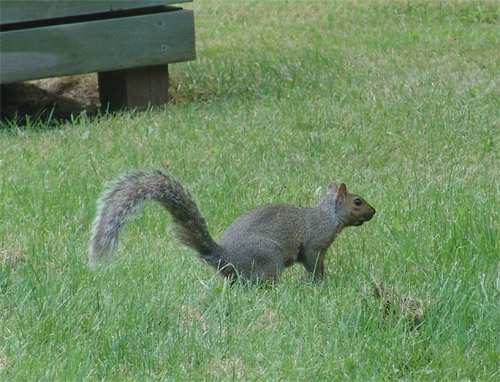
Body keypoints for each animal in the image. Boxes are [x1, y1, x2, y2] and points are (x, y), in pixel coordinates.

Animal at [90, 169, 376, 280]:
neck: (328, 215)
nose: (374, 211)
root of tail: (224, 257)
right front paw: (320, 282)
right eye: (358, 201)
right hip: (268, 258)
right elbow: (313, 263)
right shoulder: (315, 244)